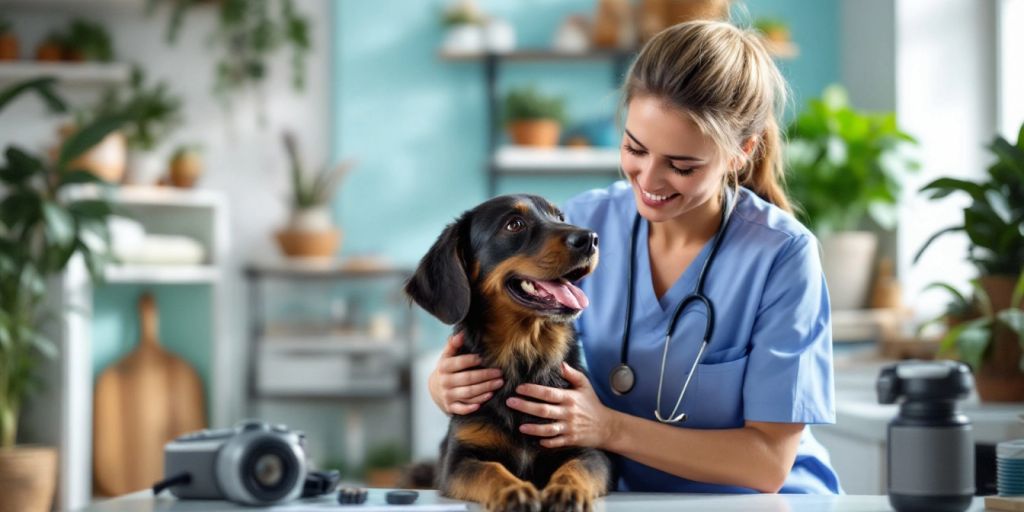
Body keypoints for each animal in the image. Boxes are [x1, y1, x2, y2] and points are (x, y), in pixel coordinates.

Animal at [405, 194, 610, 512]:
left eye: (560, 217)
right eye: (514, 224)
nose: (590, 238)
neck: (523, 356)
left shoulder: (586, 447)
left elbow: (574, 468)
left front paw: (567, 491)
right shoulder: (458, 461)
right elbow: (491, 471)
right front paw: (515, 491)